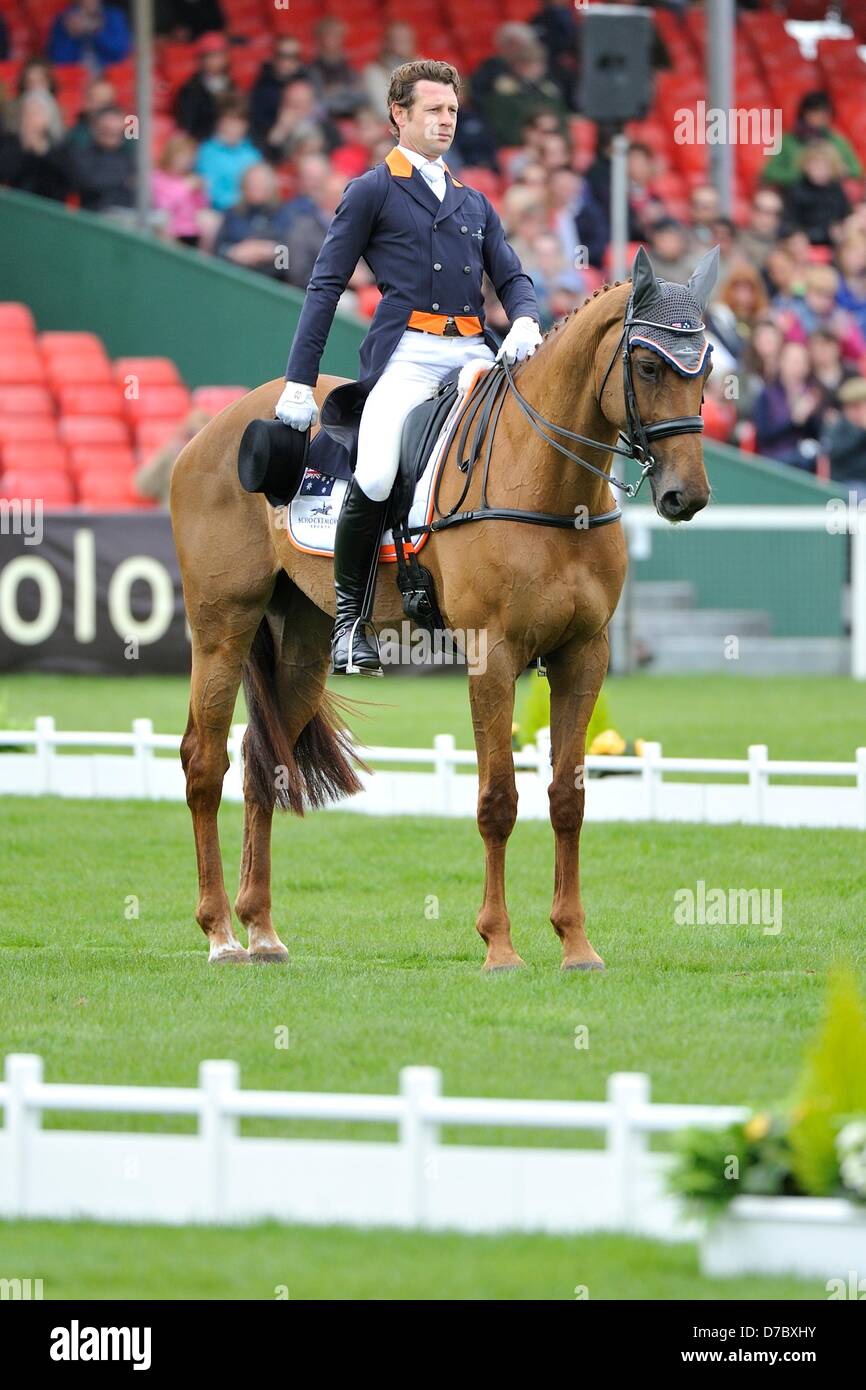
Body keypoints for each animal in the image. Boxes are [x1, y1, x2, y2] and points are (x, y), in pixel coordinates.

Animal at [173, 265, 717, 973]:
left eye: (707, 368)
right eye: (649, 365)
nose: (687, 495)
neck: (546, 480)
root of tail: (219, 426)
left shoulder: (584, 655)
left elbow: (567, 799)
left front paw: (576, 945)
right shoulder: (493, 656)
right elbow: (498, 799)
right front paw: (500, 946)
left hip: (304, 644)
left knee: (264, 764)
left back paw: (261, 930)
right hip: (222, 629)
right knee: (204, 762)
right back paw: (219, 934)